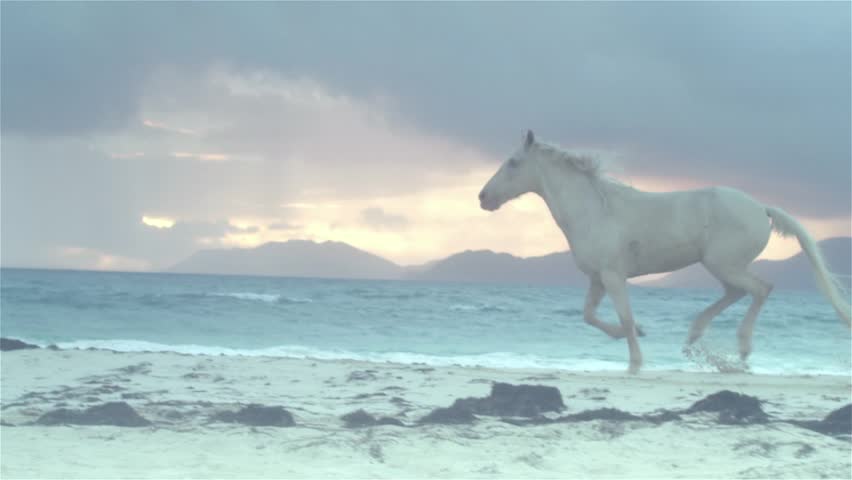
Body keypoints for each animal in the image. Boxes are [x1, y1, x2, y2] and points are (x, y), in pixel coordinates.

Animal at [482, 131, 848, 376]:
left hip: (724, 264)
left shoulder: (613, 276)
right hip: (721, 266)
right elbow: (590, 316)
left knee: (759, 289)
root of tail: (762, 208)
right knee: (736, 293)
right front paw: (641, 336)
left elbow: (625, 318)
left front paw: (635, 363)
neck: (595, 209)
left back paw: (740, 352)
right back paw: (697, 340)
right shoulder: (598, 279)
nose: (482, 198)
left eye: (513, 163)